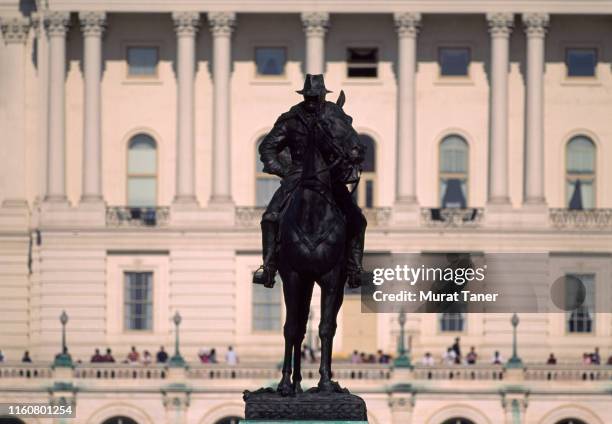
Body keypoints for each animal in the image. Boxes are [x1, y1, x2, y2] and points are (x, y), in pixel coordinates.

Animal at [274, 97, 366, 396]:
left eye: (349, 119)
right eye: (326, 123)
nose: (358, 151)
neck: (313, 214)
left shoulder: (332, 277)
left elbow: (325, 327)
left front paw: (325, 381)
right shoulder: (293, 275)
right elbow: (291, 328)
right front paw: (283, 383)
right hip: (303, 282)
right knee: (300, 327)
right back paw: (295, 383)